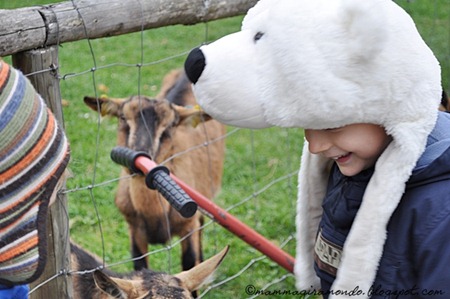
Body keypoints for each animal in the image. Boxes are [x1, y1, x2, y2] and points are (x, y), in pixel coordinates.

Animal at [83, 70, 227, 276]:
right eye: (123, 118)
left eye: (169, 127)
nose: (141, 154)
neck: (155, 214)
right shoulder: (134, 230)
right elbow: (140, 267)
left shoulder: (188, 227)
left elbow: (190, 265)